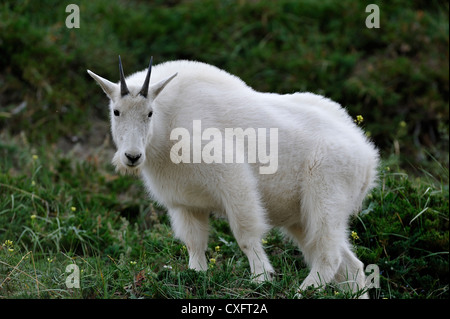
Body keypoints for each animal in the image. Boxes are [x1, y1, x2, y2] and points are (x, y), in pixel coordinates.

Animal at [86, 56, 378, 298]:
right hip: (302, 216)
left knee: (329, 255)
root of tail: (367, 156)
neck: (168, 124)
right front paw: (196, 275)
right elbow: (194, 243)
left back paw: (302, 291)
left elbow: (246, 235)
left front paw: (261, 279)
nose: (132, 156)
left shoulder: (233, 180)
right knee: (351, 266)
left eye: (149, 113)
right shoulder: (184, 203)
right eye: (116, 111)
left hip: (327, 194)